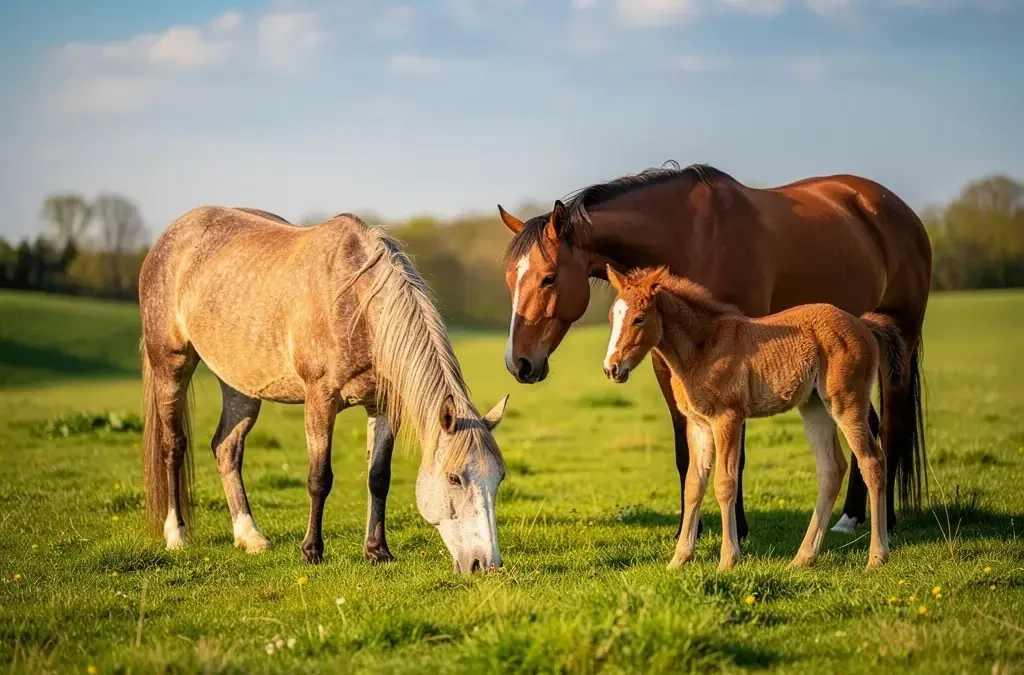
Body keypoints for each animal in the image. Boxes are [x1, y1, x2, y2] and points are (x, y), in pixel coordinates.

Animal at [138, 207, 510, 573]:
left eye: (499, 479)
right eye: (454, 478)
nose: (485, 564)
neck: (356, 300)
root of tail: (167, 238)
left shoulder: (382, 405)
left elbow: (379, 477)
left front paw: (377, 551)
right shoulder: (320, 399)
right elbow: (319, 478)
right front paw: (312, 551)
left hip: (240, 386)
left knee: (226, 448)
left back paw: (250, 537)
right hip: (170, 366)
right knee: (173, 446)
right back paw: (176, 535)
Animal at [603, 265, 901, 570]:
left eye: (639, 318)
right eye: (612, 317)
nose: (612, 368)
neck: (702, 348)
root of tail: (863, 325)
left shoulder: (728, 418)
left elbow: (724, 483)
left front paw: (727, 559)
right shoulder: (697, 424)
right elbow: (693, 484)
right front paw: (679, 559)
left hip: (846, 403)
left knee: (872, 462)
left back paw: (877, 556)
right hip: (815, 407)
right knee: (831, 469)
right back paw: (802, 558)